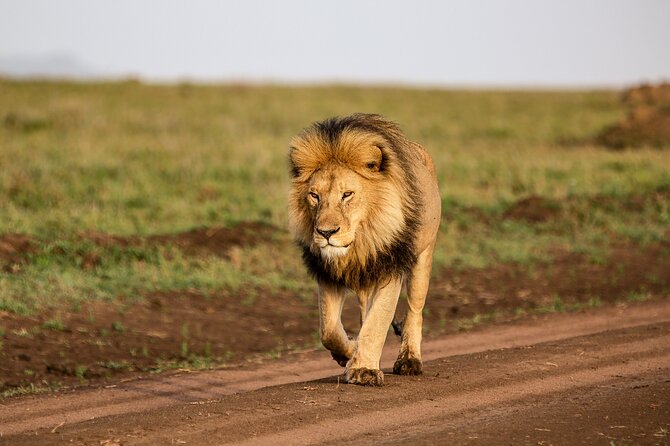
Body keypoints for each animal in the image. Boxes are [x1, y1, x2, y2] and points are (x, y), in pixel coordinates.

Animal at [288, 113, 441, 386]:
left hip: (423, 255)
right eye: (314, 196)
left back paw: (409, 360)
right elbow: (328, 329)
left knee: (415, 310)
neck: (361, 242)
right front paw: (349, 353)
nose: (326, 233)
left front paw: (364, 369)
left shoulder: (390, 266)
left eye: (347, 195)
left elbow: (377, 321)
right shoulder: (327, 273)